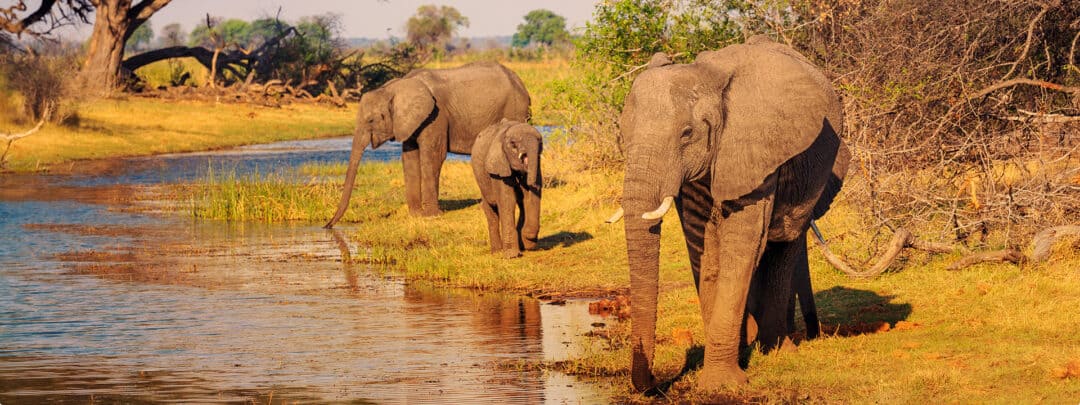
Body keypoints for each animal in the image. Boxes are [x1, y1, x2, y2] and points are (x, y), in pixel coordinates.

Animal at [324, 61, 531, 228]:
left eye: (370, 120)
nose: (327, 226)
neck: (394, 87)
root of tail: (520, 82)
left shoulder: (436, 115)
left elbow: (433, 157)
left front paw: (432, 216)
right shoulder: (410, 122)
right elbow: (409, 158)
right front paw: (416, 215)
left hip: (515, 110)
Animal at [470, 119, 543, 258]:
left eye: (540, 142)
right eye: (513, 144)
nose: (531, 239)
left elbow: (528, 197)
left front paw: (527, 242)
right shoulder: (498, 166)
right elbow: (507, 200)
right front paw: (512, 256)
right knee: (491, 210)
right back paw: (497, 251)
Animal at [609, 36, 850, 391]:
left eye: (686, 133)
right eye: (623, 136)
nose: (654, 382)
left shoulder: (754, 149)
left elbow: (741, 243)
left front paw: (720, 385)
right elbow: (706, 249)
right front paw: (729, 362)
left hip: (815, 174)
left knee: (783, 244)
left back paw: (776, 349)